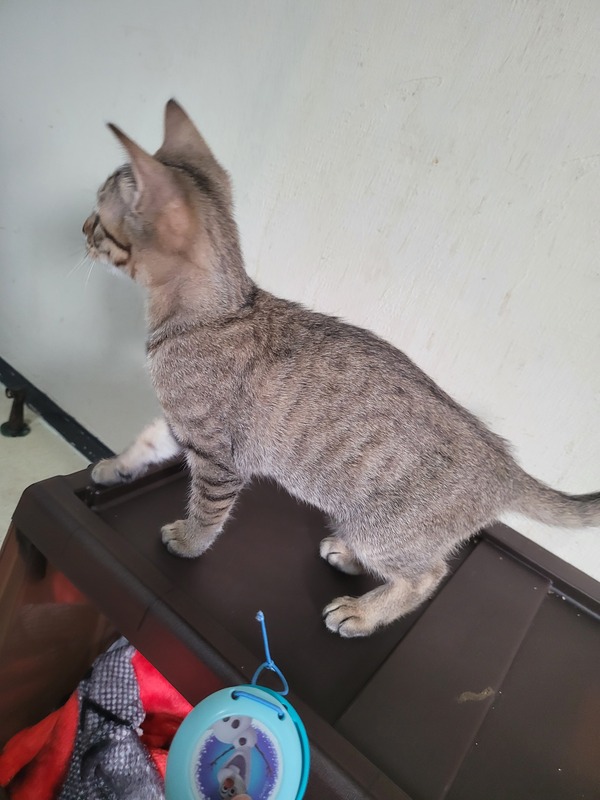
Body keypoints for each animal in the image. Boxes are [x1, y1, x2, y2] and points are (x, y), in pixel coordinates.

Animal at [84, 100, 600, 638]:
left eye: (98, 218)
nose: (80, 229)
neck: (217, 312)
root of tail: (507, 466)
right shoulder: (181, 423)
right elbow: (144, 443)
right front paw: (115, 467)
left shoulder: (217, 455)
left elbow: (207, 512)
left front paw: (188, 541)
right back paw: (346, 554)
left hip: (388, 530)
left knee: (426, 574)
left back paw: (362, 611)